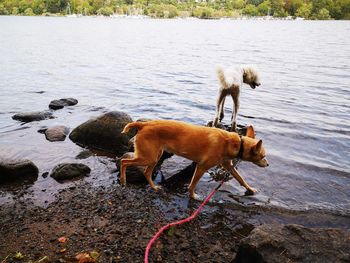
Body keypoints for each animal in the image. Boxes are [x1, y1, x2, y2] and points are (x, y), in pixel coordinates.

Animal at [120, 120, 268, 199]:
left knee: (146, 173)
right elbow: (192, 184)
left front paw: (250, 189)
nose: (267, 164)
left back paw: (154, 187)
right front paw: (193, 196)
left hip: (154, 157)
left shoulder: (228, 166)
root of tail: (144, 124)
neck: (236, 143)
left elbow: (240, 179)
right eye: (263, 156)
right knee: (124, 162)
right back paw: (123, 180)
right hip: (148, 157)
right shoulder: (202, 166)